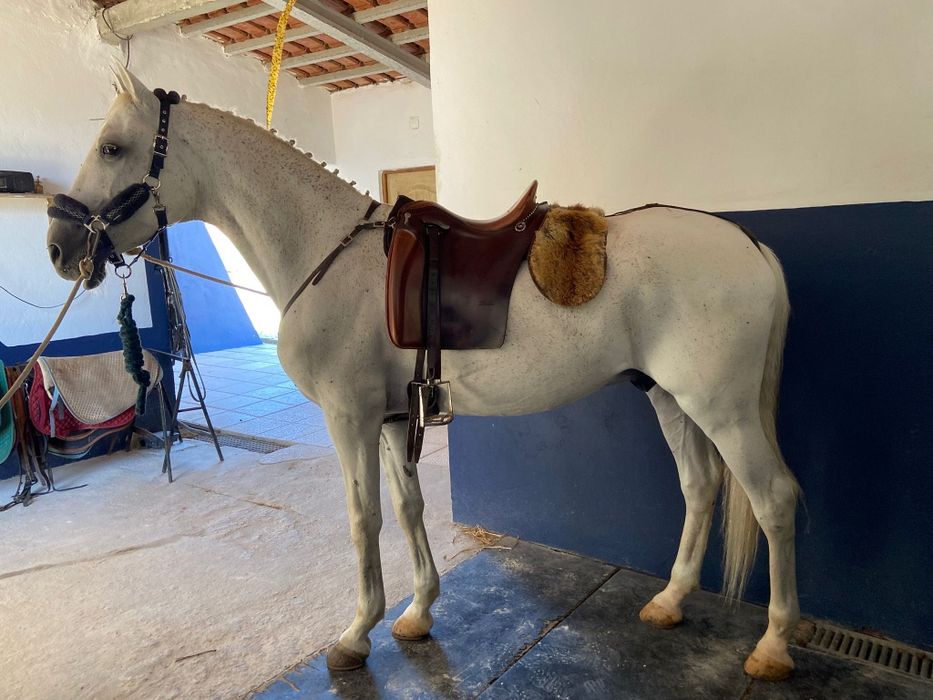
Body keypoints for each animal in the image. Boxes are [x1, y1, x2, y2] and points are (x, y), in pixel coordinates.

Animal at [46, 66, 800, 681]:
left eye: (112, 148)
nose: (58, 246)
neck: (325, 251)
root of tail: (747, 241)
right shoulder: (388, 417)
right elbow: (408, 509)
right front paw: (416, 613)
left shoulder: (348, 417)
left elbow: (363, 518)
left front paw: (356, 635)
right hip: (671, 398)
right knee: (701, 487)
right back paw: (669, 601)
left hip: (723, 407)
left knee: (773, 498)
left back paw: (772, 647)